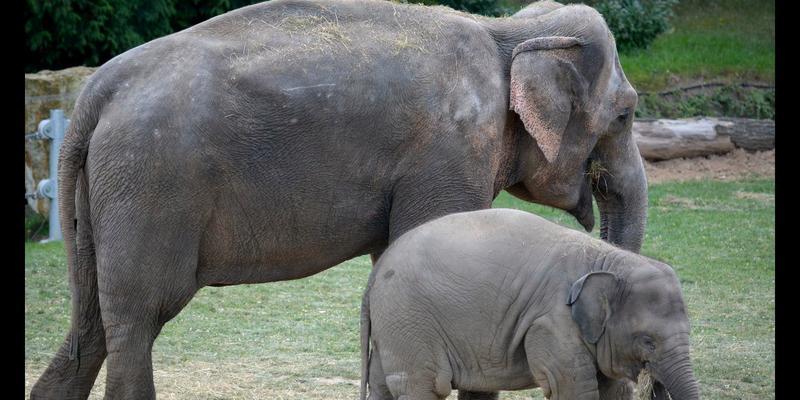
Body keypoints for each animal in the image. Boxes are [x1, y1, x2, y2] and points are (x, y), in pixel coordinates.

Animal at [31, 1, 648, 398]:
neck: (510, 31)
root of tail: (95, 91)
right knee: (139, 317)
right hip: (150, 184)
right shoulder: (450, 151)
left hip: (106, 196)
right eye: (625, 115)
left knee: (91, 323)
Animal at [360, 209, 696, 400]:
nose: (656, 385)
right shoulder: (552, 324)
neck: (608, 259)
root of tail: (375, 273)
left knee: (381, 384)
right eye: (648, 341)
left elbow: (612, 389)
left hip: (393, 325)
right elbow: (573, 388)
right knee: (423, 385)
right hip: (408, 320)